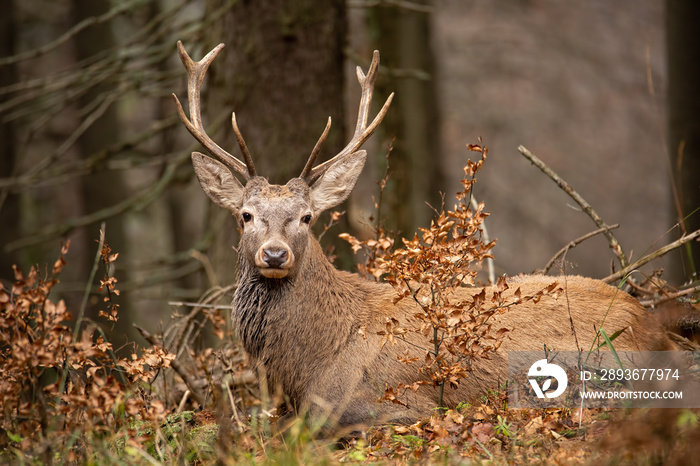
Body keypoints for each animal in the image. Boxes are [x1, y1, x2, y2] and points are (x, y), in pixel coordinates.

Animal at [174, 41, 680, 432]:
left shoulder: (390, 406)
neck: (310, 364)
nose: (275, 255)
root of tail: (653, 325)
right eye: (245, 215)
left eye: (307, 217)